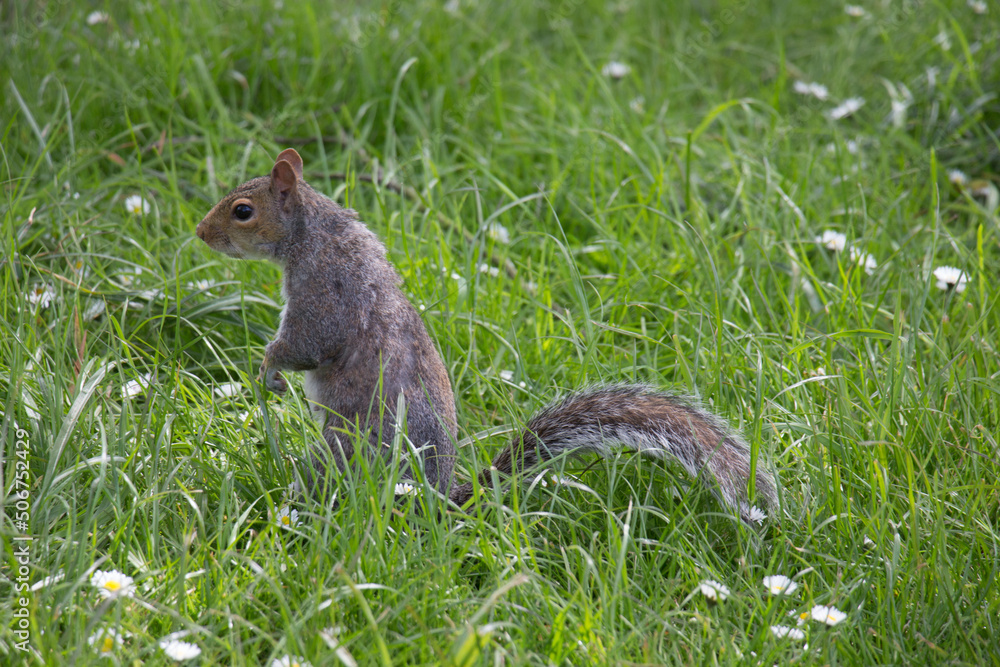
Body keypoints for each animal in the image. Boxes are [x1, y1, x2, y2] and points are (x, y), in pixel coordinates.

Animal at [196, 148, 777, 524]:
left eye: (243, 212)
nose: (200, 233)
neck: (313, 232)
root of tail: (437, 501)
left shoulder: (326, 292)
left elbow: (306, 344)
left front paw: (267, 367)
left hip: (339, 451)